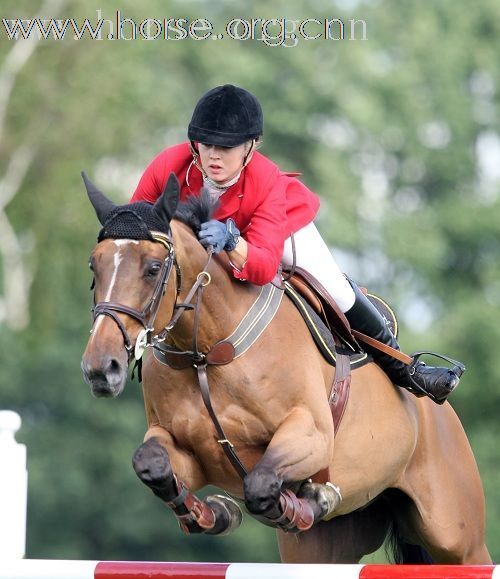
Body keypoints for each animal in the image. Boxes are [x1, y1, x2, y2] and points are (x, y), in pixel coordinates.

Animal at [82, 171, 492, 560]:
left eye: (153, 268)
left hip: (459, 539)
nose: (101, 368)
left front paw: (305, 500)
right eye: (93, 265)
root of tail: (440, 417)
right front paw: (215, 514)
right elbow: (151, 463)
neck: (205, 353)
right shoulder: (186, 450)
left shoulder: (311, 434)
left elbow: (260, 483)